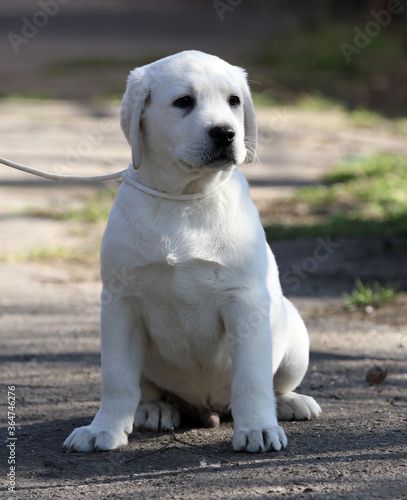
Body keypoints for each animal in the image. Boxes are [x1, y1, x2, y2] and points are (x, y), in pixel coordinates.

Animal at [64, 49, 322, 454]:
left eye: (234, 101)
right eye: (184, 102)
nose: (226, 133)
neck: (184, 198)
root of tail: (209, 408)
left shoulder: (245, 301)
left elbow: (252, 377)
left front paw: (258, 428)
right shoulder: (121, 303)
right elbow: (117, 378)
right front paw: (102, 429)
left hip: (295, 338)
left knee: (275, 383)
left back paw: (290, 404)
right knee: (147, 390)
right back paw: (154, 410)